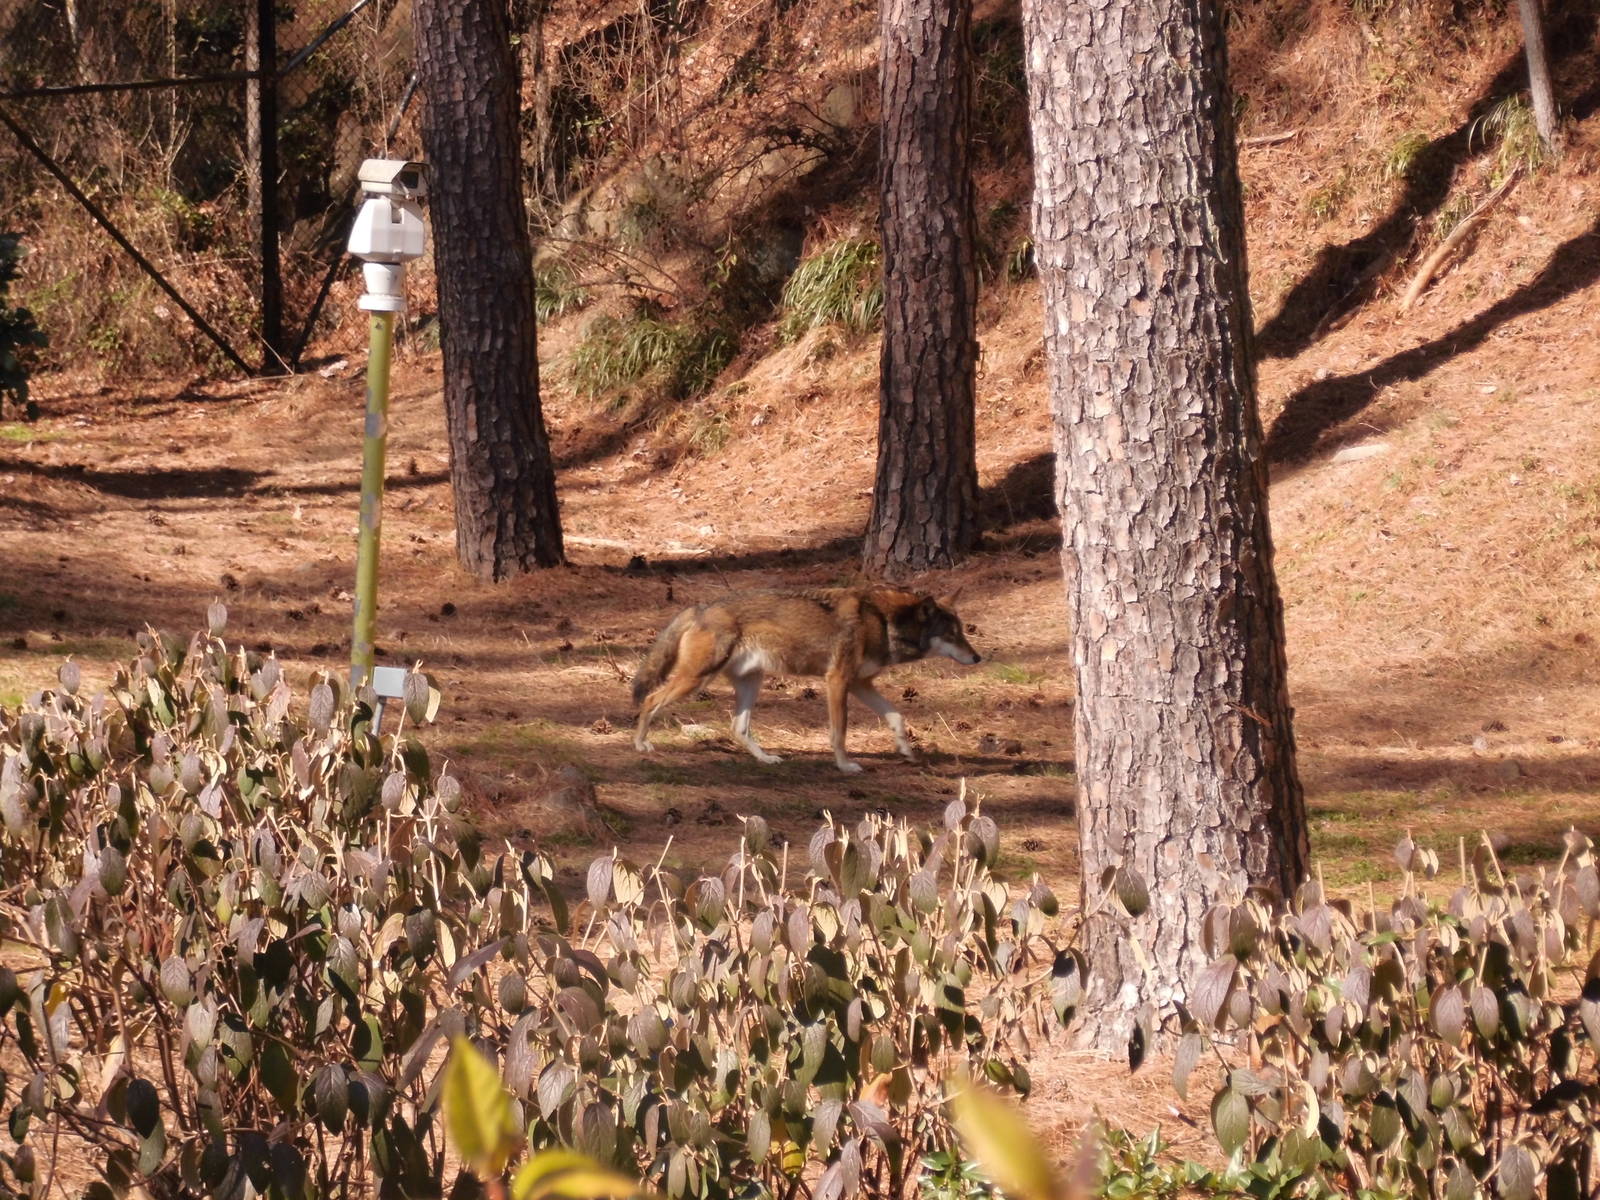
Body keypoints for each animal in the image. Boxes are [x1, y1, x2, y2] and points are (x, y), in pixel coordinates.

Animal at [631, 587, 981, 774]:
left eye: (962, 632)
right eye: (951, 635)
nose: (977, 658)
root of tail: (700, 608)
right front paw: (845, 766)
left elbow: (896, 716)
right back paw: (640, 744)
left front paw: (906, 750)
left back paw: (767, 759)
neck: (884, 622)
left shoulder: (860, 684)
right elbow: (839, 733)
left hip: (750, 683)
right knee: (649, 700)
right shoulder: (838, 681)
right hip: (696, 679)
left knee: (737, 728)